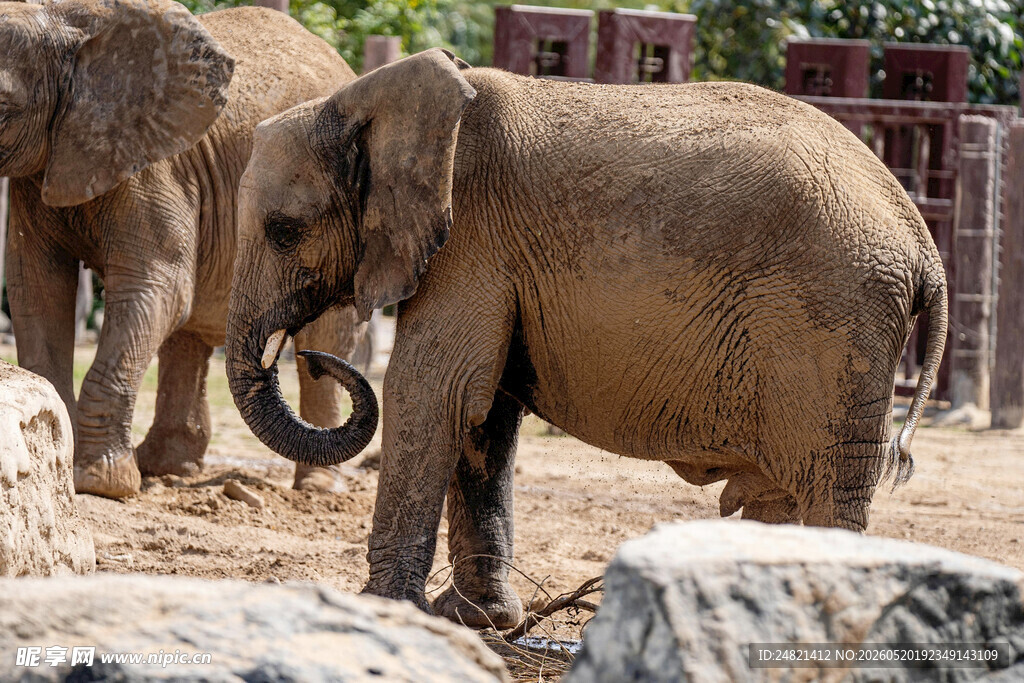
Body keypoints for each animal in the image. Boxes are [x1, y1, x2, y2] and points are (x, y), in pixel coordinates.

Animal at [0, 0, 368, 498]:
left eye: (2, 106)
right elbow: (37, 289)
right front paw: (65, 465)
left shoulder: (154, 166)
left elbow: (154, 289)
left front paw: (98, 483)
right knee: (188, 333)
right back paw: (166, 468)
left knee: (325, 338)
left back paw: (317, 489)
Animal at [224, 50, 947, 628]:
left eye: (284, 230)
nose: (312, 354)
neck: (368, 98)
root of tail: (924, 247)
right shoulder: (494, 256)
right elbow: (483, 414)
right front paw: (479, 619)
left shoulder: (470, 240)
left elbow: (434, 393)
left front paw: (386, 612)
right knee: (782, 495)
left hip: (834, 323)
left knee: (828, 489)